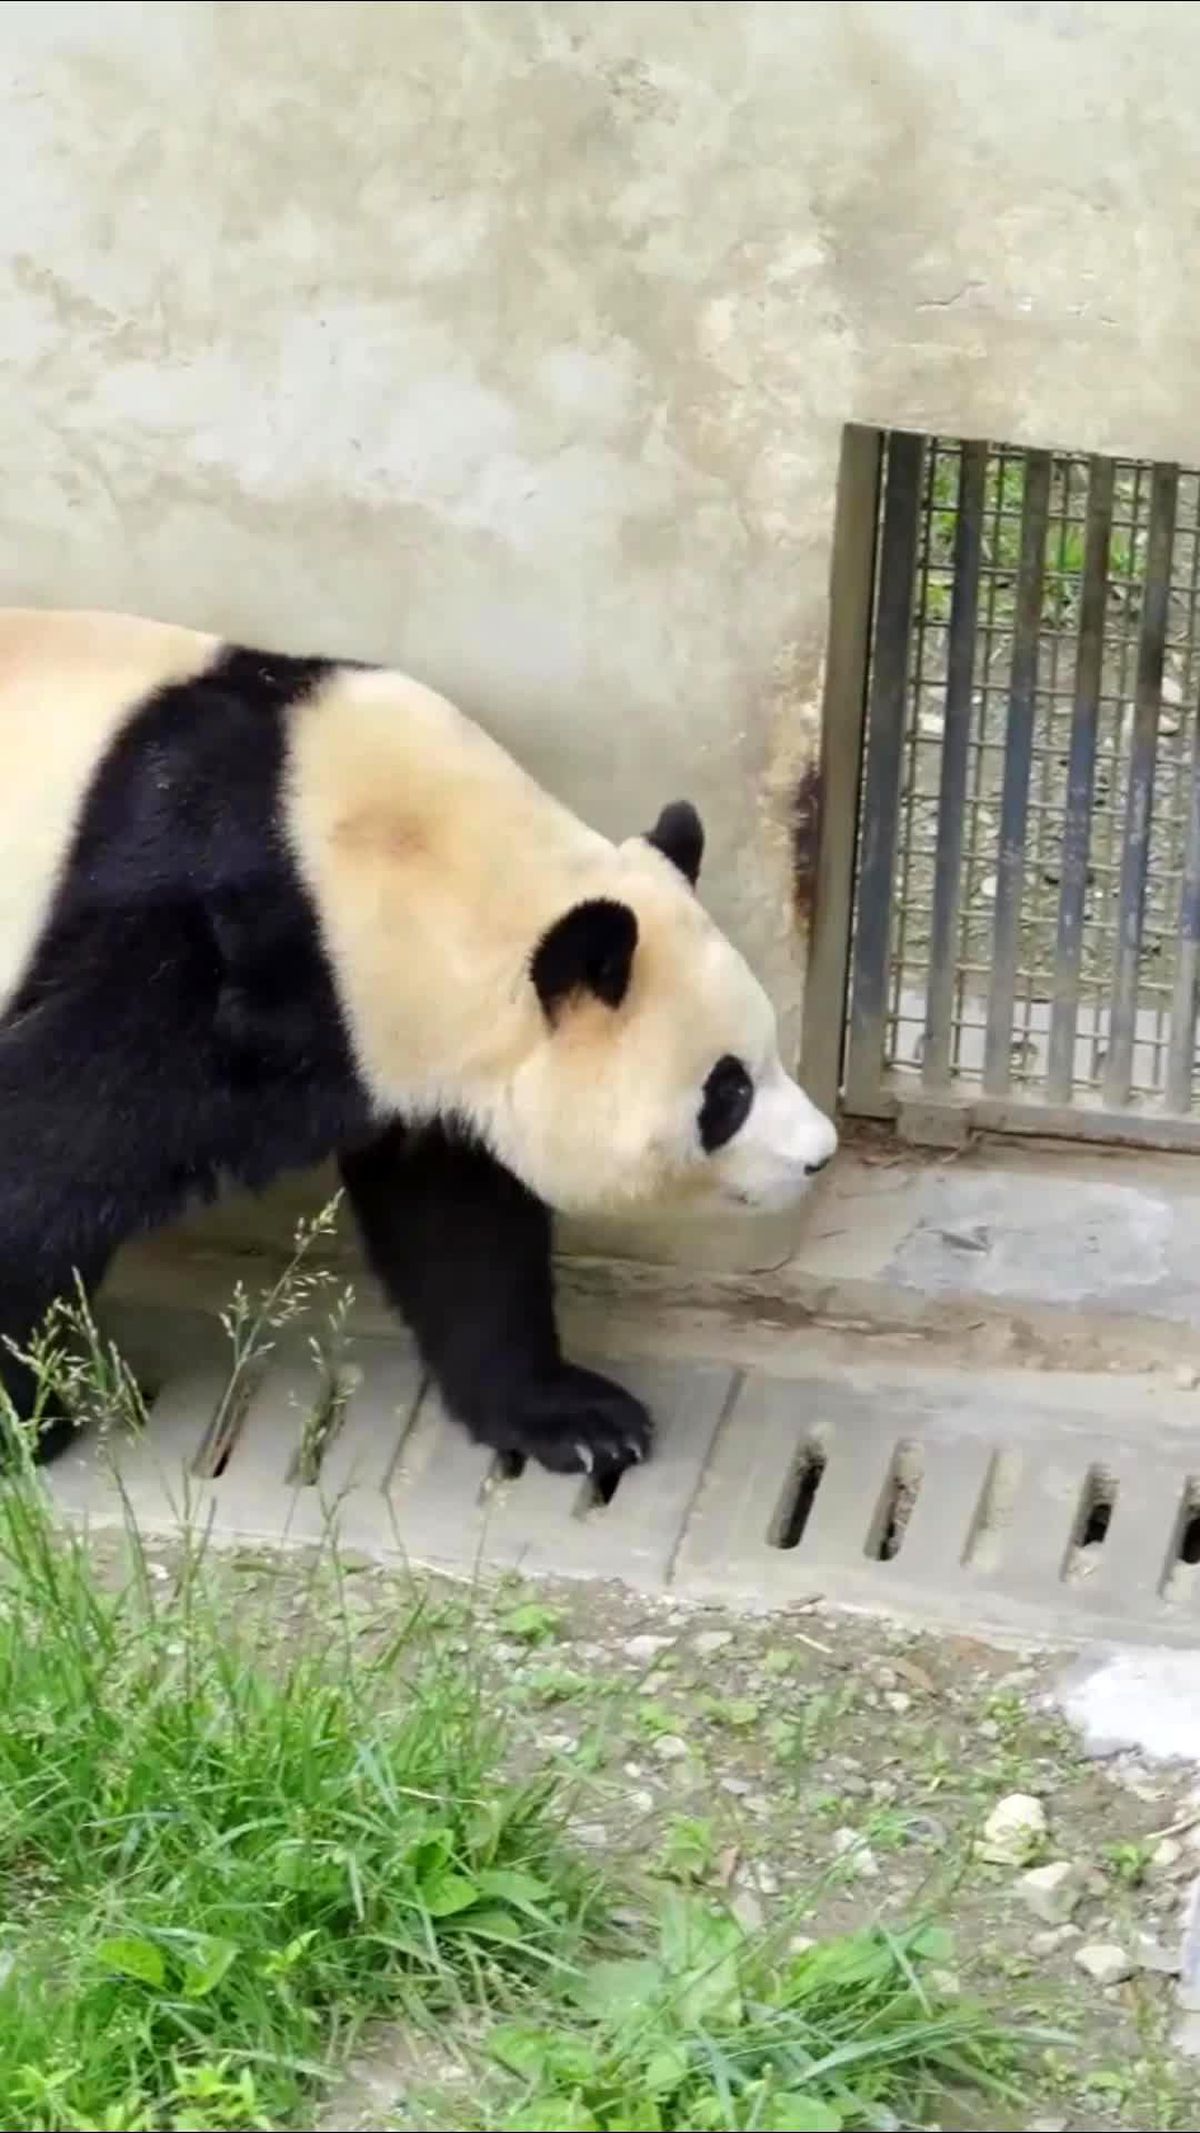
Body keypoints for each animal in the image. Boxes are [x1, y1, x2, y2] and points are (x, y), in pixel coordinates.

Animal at [0, 608, 837, 1477]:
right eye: (728, 1091)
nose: (821, 1154)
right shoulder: (198, 951)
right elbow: (49, 1160)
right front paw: (33, 1422)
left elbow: (458, 1229)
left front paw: (575, 1418)